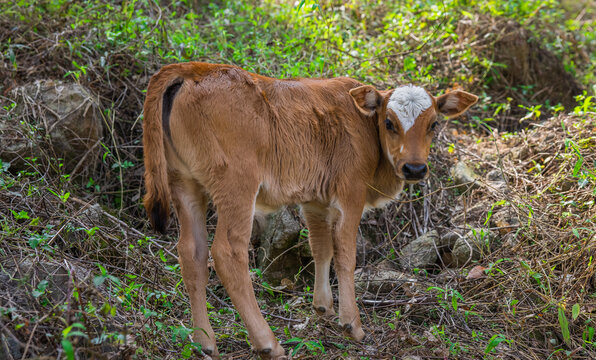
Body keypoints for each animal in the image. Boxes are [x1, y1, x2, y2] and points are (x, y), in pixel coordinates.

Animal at [142, 62, 478, 358]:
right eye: (389, 123)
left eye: (433, 124)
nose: (414, 168)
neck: (364, 123)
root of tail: (194, 69)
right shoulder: (350, 193)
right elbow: (345, 256)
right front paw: (351, 323)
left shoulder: (315, 200)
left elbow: (321, 248)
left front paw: (323, 306)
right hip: (237, 186)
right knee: (227, 253)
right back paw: (268, 343)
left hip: (184, 184)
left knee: (192, 253)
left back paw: (204, 342)